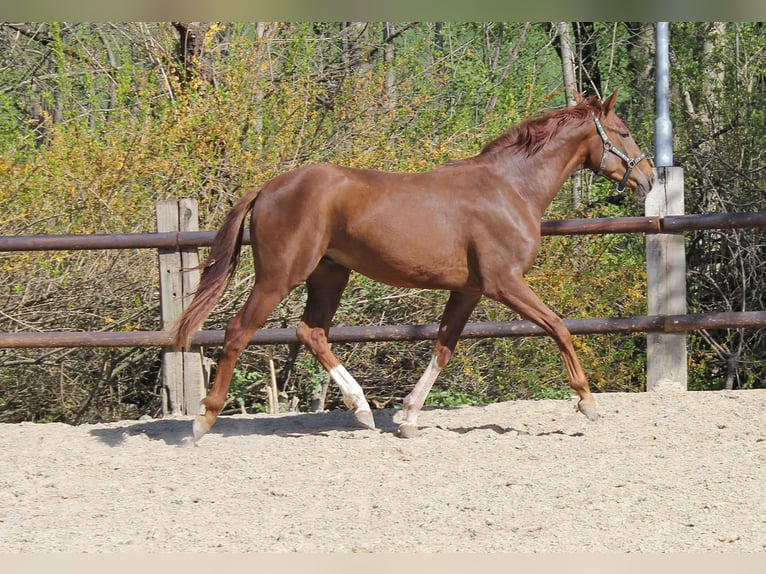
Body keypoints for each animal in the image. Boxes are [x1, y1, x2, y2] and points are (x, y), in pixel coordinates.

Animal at [174, 90, 656, 444]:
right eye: (625, 131)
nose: (649, 178)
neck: (510, 189)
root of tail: (268, 188)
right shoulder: (504, 283)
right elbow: (558, 326)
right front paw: (587, 402)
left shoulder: (469, 290)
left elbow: (444, 347)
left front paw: (407, 418)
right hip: (280, 276)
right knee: (239, 331)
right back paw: (203, 421)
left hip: (330, 274)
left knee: (311, 331)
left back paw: (362, 410)